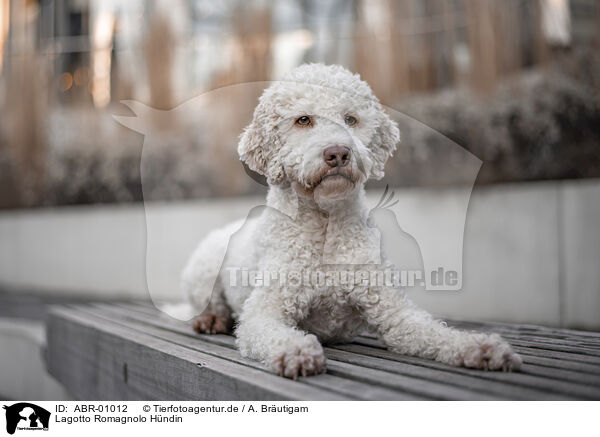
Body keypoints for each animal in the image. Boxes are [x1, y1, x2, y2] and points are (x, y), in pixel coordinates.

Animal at [180, 63, 524, 376]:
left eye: (350, 119)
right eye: (303, 120)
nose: (338, 153)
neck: (325, 226)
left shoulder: (394, 313)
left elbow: (431, 331)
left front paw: (478, 346)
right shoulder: (263, 312)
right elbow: (270, 332)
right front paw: (297, 351)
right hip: (205, 265)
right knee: (207, 304)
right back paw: (211, 319)